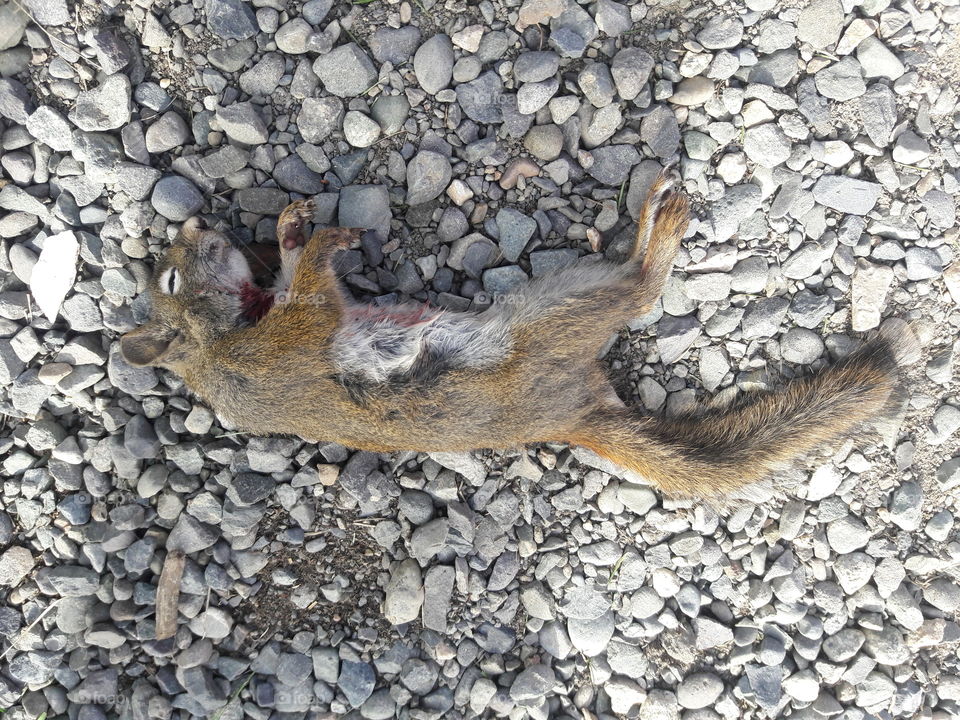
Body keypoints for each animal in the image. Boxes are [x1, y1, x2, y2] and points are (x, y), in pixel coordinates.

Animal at [120, 169, 909, 497]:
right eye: (171, 282)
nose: (199, 225)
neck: (222, 344)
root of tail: (580, 407)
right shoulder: (290, 341)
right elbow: (317, 290)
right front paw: (324, 240)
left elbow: (296, 270)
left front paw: (290, 229)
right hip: (560, 309)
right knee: (639, 287)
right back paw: (664, 222)